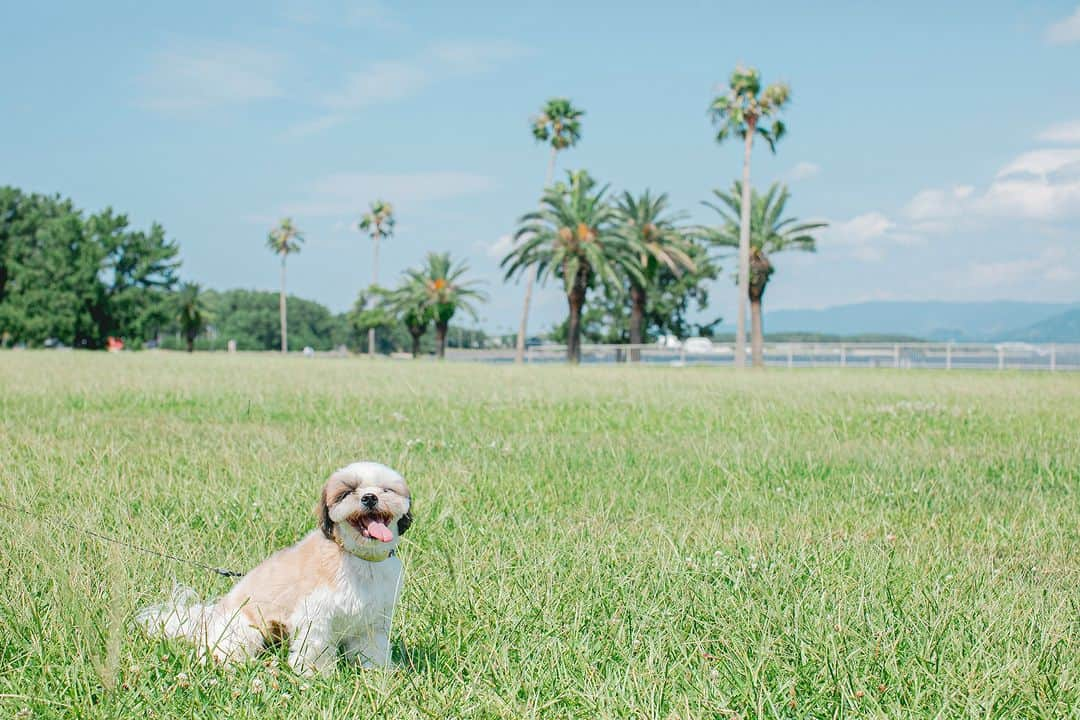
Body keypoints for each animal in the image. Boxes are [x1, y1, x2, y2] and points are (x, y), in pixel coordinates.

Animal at [138, 462, 412, 677]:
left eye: (386, 490)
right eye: (348, 492)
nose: (369, 497)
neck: (360, 559)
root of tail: (210, 618)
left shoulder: (374, 621)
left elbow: (373, 649)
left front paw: (378, 673)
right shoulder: (315, 615)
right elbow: (314, 647)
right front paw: (316, 675)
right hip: (245, 630)